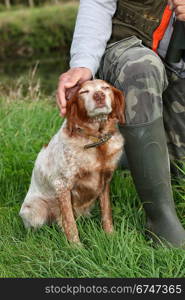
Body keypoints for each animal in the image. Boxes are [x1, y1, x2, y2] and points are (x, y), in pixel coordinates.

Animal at [19, 79, 125, 244]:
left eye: (106, 87)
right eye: (84, 92)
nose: (99, 95)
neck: (96, 140)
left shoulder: (105, 182)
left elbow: (107, 213)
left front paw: (110, 236)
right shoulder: (62, 185)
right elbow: (70, 223)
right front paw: (76, 247)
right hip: (35, 211)